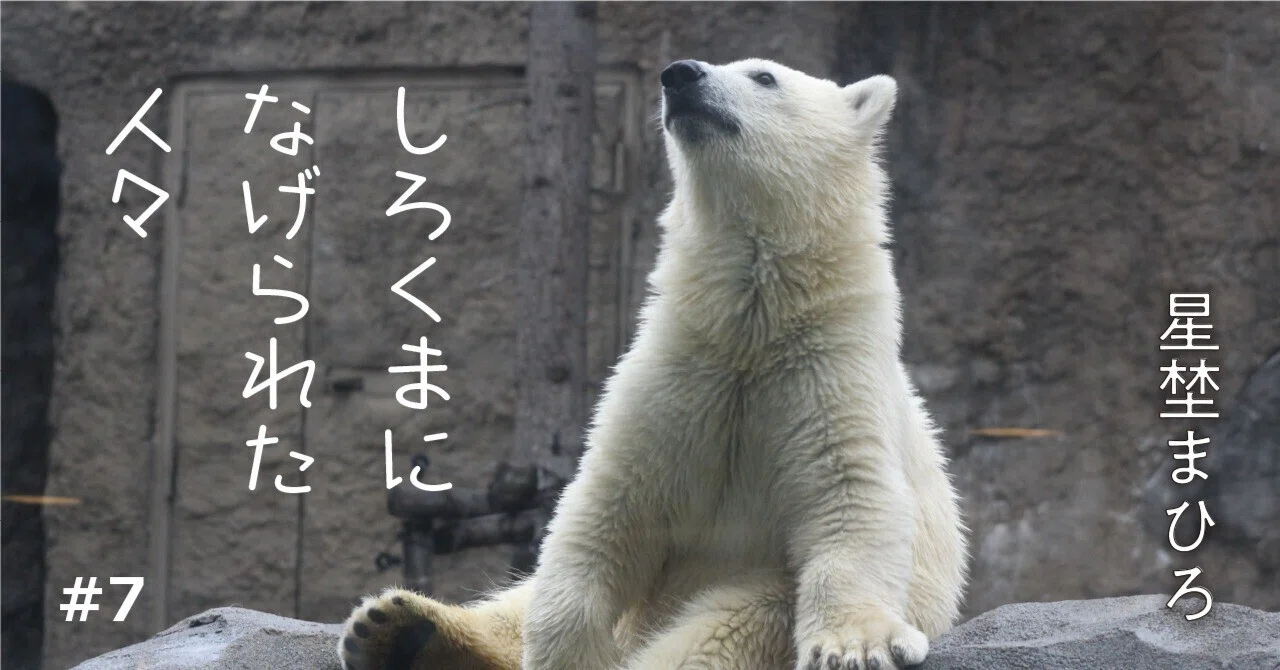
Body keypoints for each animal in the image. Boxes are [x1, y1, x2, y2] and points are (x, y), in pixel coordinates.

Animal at [339, 57, 969, 670]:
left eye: (764, 76)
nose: (680, 74)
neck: (751, 330)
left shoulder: (826, 377)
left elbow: (851, 502)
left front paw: (854, 646)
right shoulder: (676, 375)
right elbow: (605, 510)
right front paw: (569, 650)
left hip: (757, 590)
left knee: (727, 626)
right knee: (517, 602)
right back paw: (394, 625)